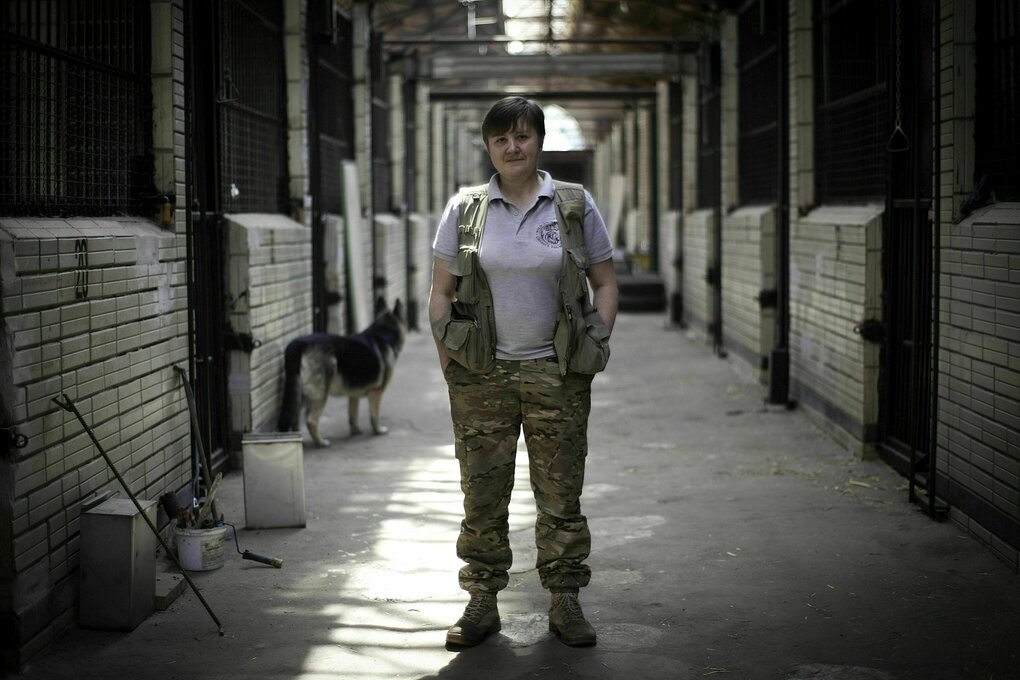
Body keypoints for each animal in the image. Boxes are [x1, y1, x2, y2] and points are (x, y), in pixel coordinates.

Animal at [279, 297, 410, 446]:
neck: (383, 332)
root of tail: (299, 343)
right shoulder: (376, 392)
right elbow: (374, 415)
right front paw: (378, 430)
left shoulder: (354, 395)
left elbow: (353, 414)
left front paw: (356, 430)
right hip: (319, 395)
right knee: (311, 421)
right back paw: (321, 442)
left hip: (300, 395)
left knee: (294, 417)